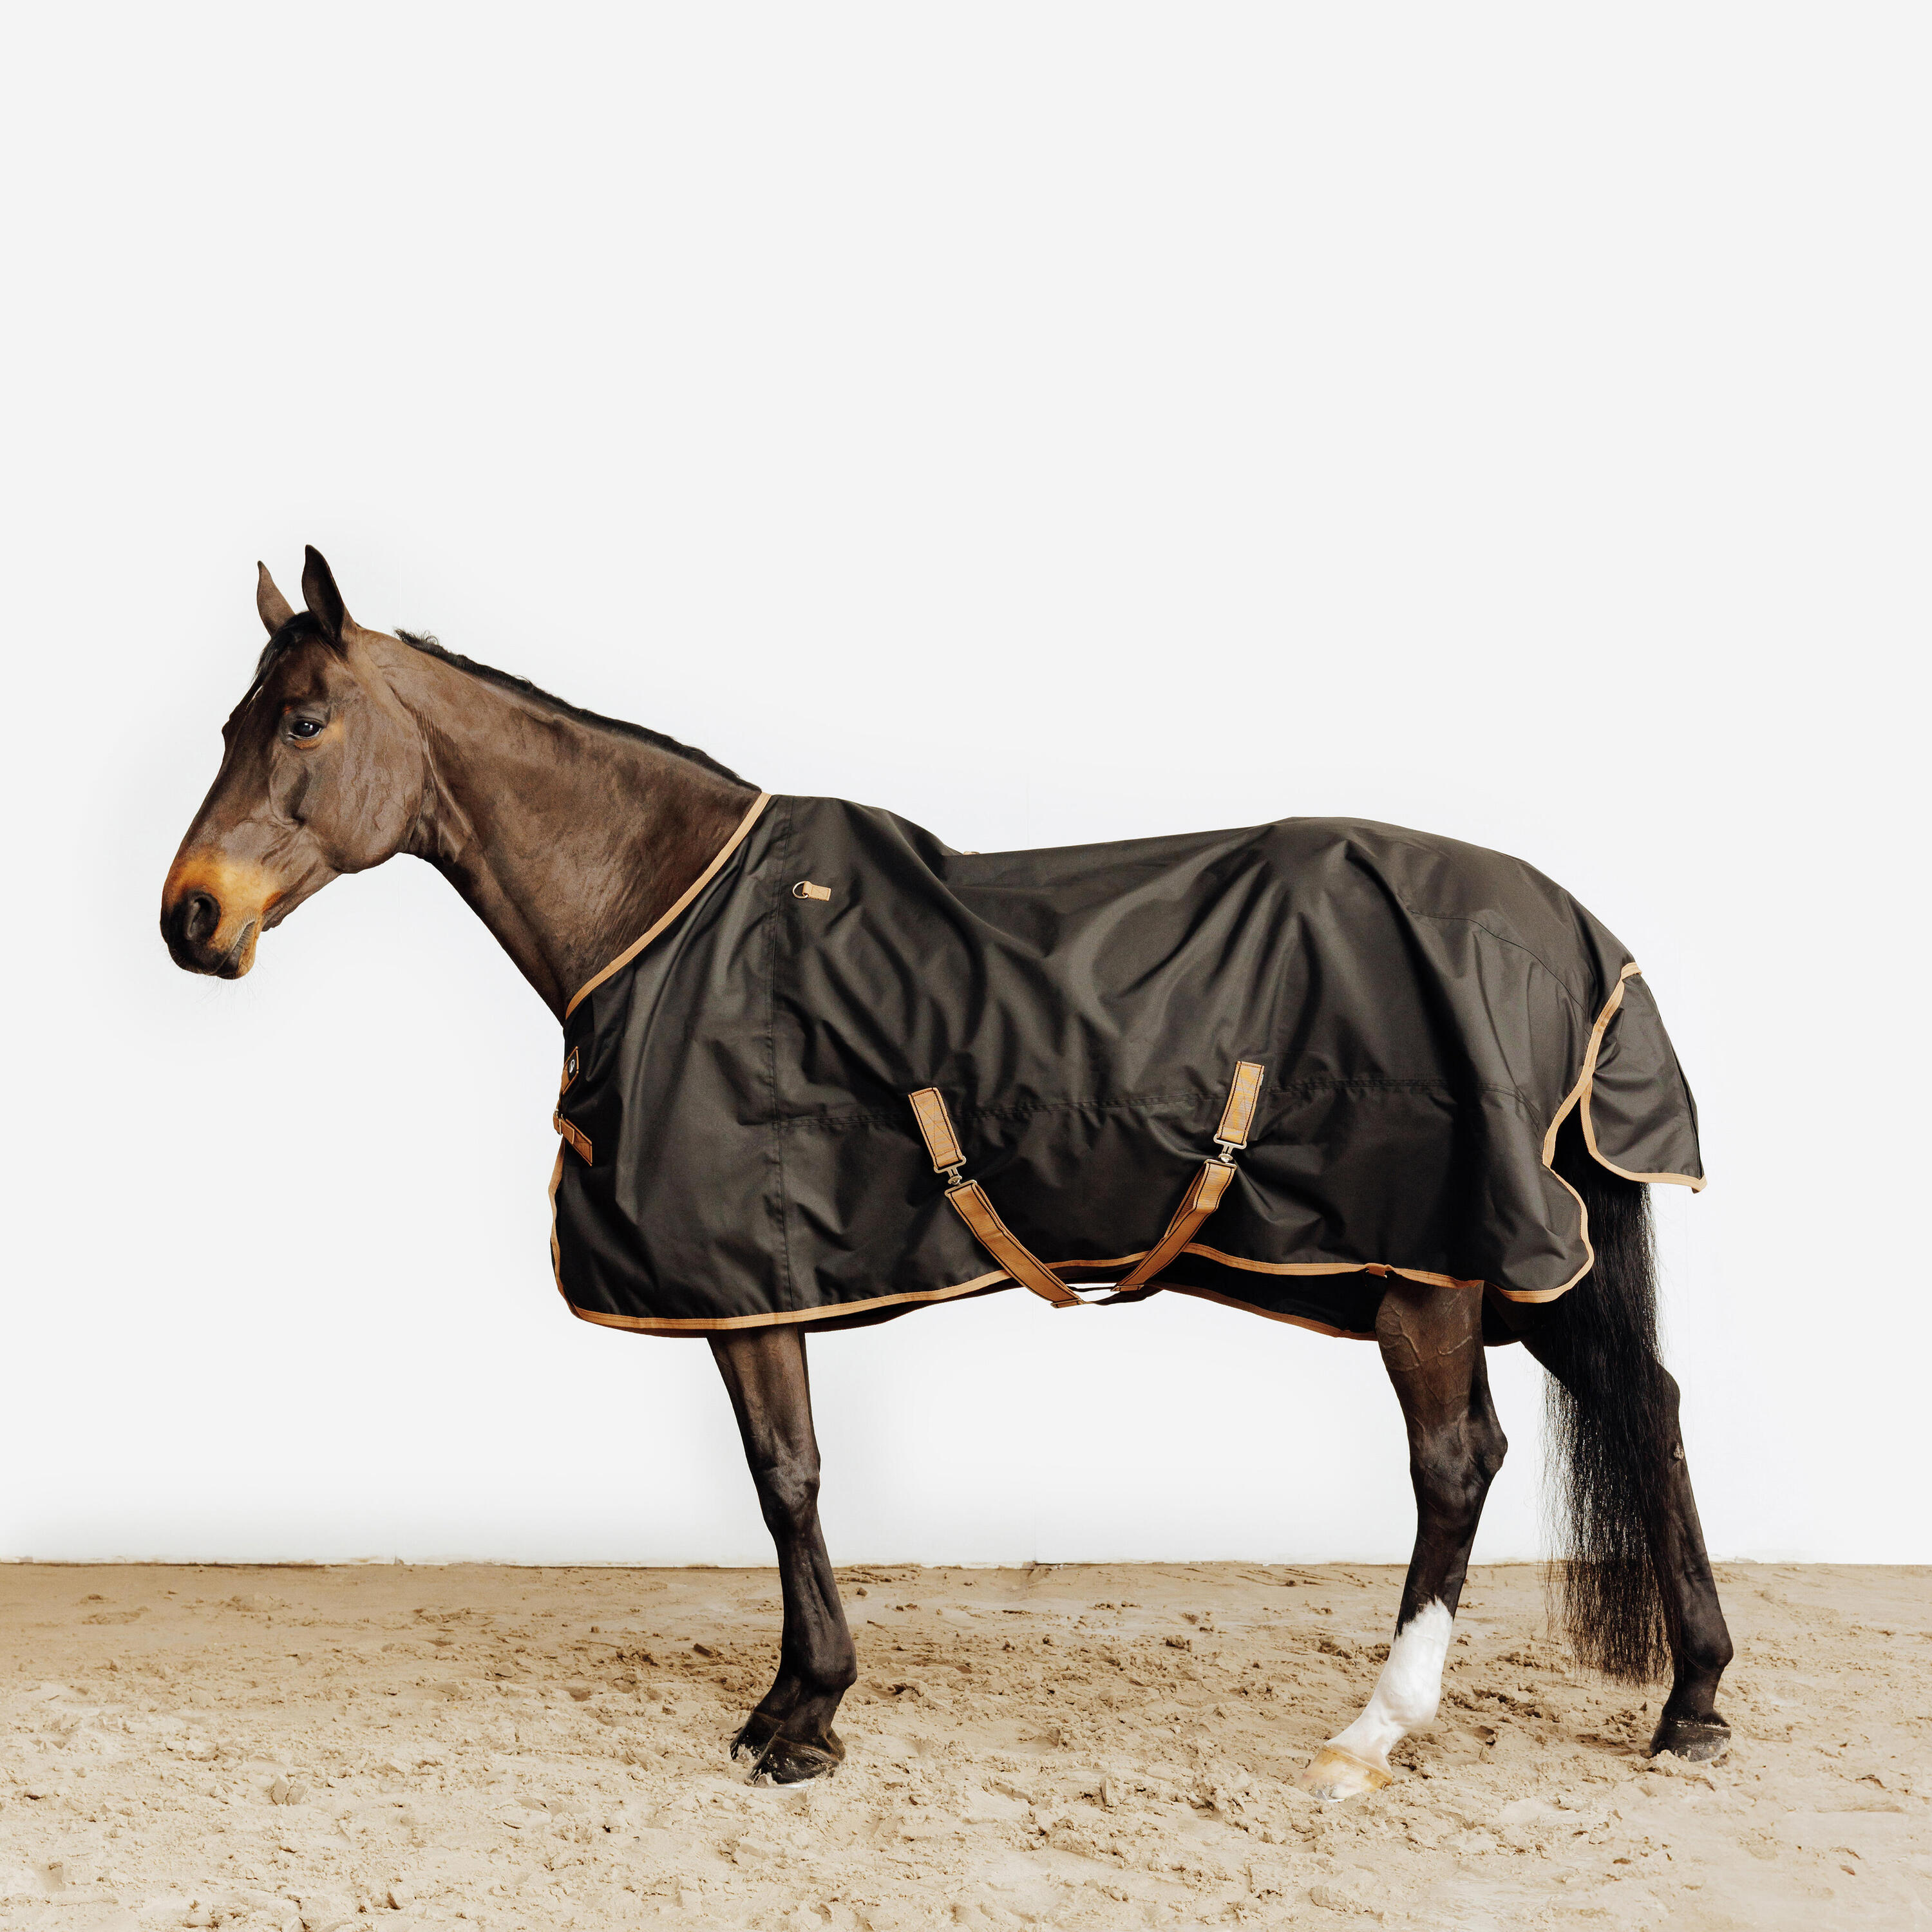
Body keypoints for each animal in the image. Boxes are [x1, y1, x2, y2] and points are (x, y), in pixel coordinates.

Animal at [160, 548, 1734, 1792]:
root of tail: (1574, 932)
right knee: (1646, 1406)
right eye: (232, 720)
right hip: (1521, 1265)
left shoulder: (747, 1277)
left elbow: (785, 1475)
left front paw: (802, 1719)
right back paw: (1694, 1700)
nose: (191, 918)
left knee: (1458, 1463)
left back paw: (1376, 1729)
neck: (666, 910)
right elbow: (785, 1476)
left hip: (1431, 1263)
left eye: (303, 720)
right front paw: (797, 1704)